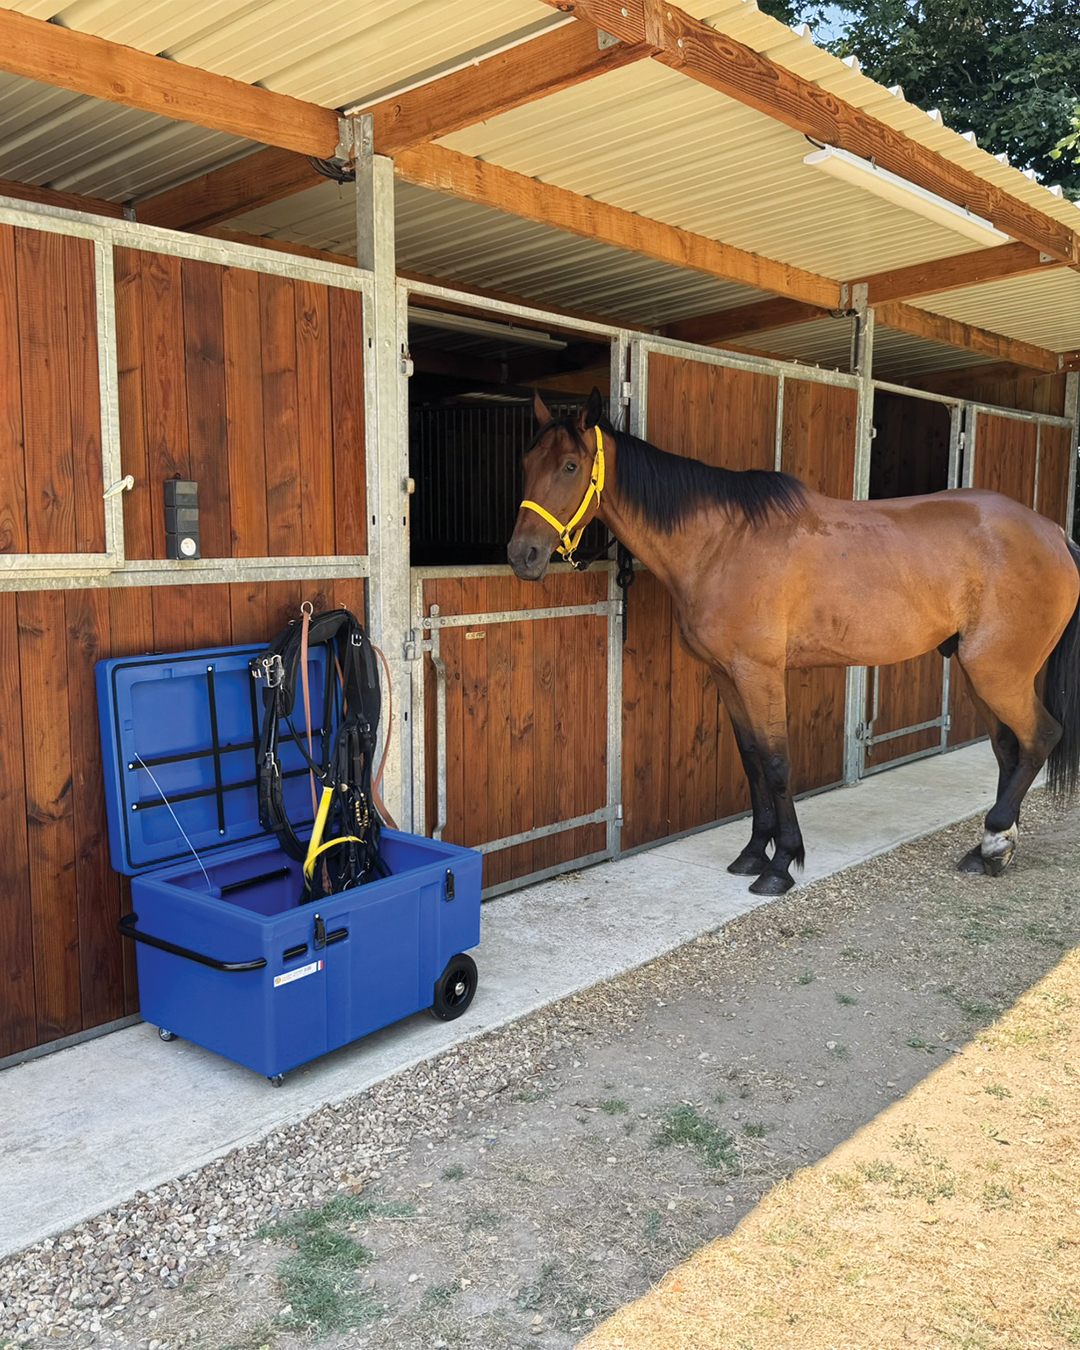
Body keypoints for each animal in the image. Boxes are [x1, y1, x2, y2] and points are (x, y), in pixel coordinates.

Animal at [507, 387, 1080, 898]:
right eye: (528, 461)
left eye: (570, 467)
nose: (521, 556)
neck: (722, 542)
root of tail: (1053, 532)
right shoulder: (726, 675)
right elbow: (751, 762)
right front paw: (752, 852)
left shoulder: (759, 673)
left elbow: (778, 764)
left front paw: (781, 864)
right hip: (980, 671)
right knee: (1009, 748)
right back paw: (991, 849)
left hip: (996, 670)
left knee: (1041, 737)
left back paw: (995, 841)